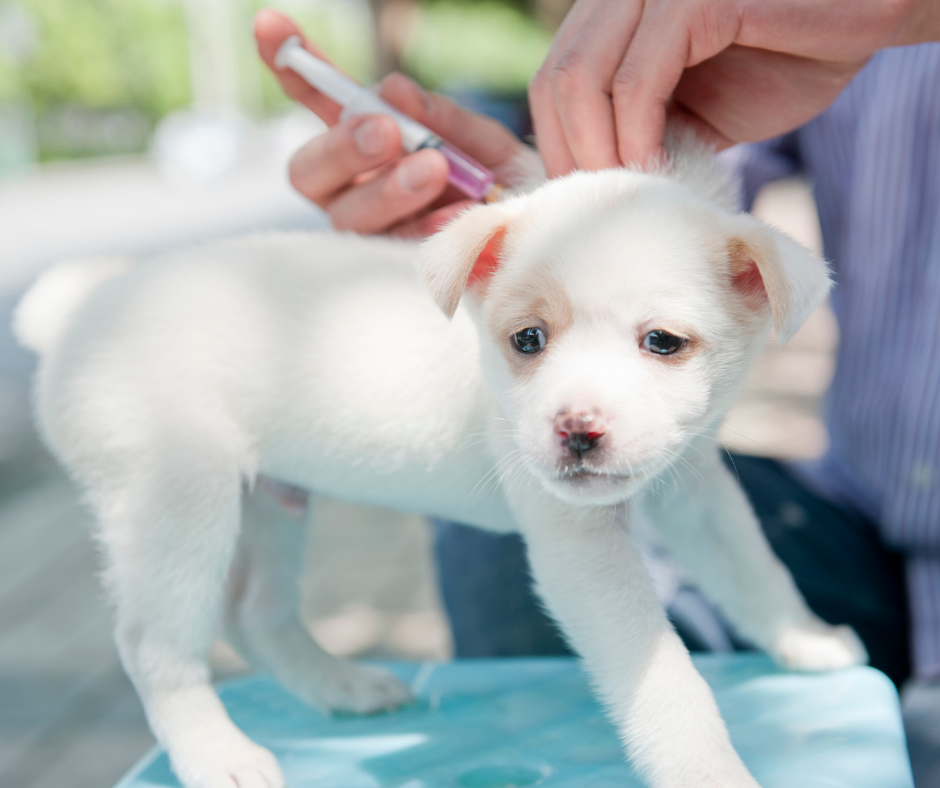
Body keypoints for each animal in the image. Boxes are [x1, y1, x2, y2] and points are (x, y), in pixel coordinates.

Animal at [14, 143, 868, 788]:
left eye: (662, 342)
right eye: (527, 339)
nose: (576, 431)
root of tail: (80, 317)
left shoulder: (695, 490)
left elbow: (753, 570)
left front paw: (804, 639)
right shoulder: (582, 551)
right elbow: (667, 681)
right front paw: (711, 773)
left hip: (267, 504)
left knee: (256, 615)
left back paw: (344, 687)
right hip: (176, 500)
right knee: (153, 645)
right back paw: (218, 756)